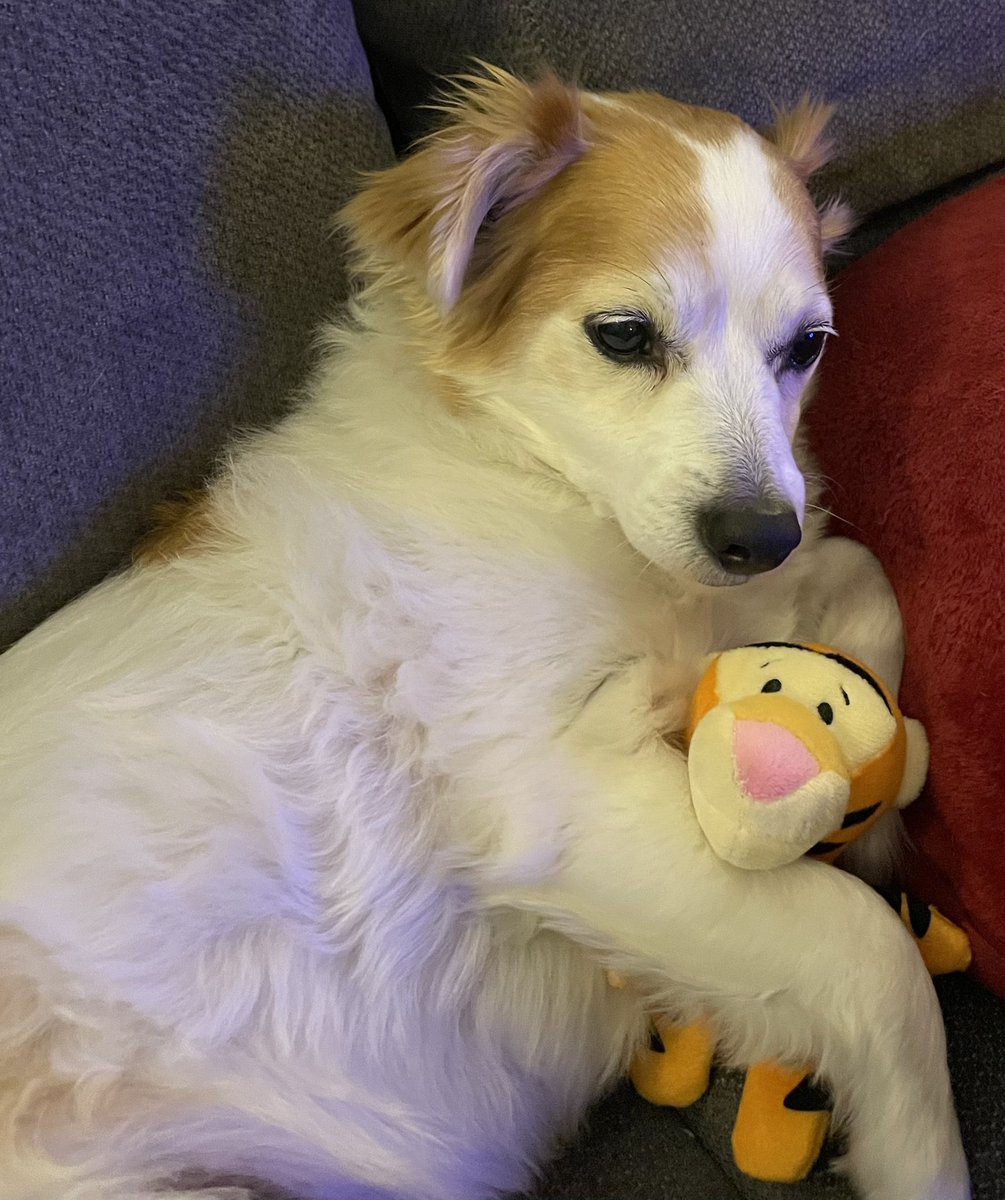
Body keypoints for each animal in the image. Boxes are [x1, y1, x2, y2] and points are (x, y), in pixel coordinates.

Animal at [0, 70, 973, 1200]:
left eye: (805, 348)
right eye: (624, 335)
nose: (761, 538)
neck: (547, 488)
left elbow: (863, 583)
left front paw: (881, 787)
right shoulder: (556, 796)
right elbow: (874, 958)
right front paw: (920, 1157)